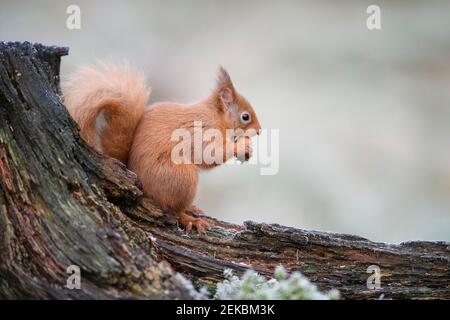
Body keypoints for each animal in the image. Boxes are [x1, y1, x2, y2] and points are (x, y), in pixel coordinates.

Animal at [62, 63, 260, 232]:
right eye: (245, 117)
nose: (259, 131)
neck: (215, 117)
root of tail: (142, 185)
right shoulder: (203, 132)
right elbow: (210, 155)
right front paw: (241, 146)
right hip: (181, 177)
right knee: (174, 209)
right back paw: (190, 219)